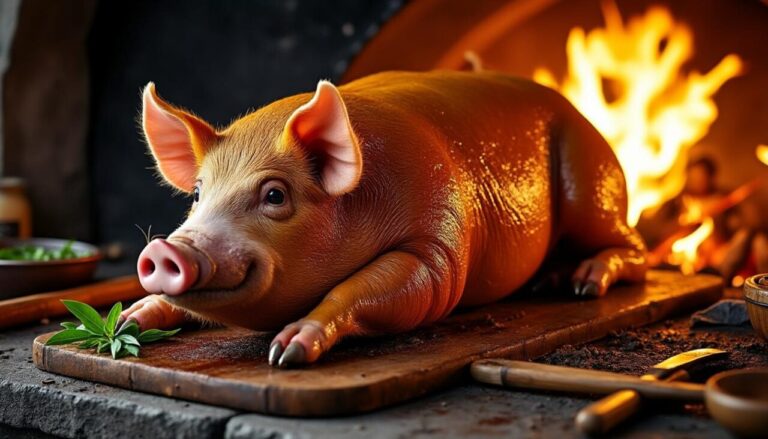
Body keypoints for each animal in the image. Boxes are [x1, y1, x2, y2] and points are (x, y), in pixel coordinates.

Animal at [121, 70, 647, 368]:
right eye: (197, 192)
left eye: (274, 194)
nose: (166, 248)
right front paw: (132, 319)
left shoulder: (436, 248)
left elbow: (377, 289)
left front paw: (286, 353)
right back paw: (550, 281)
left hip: (589, 180)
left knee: (633, 249)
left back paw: (583, 283)